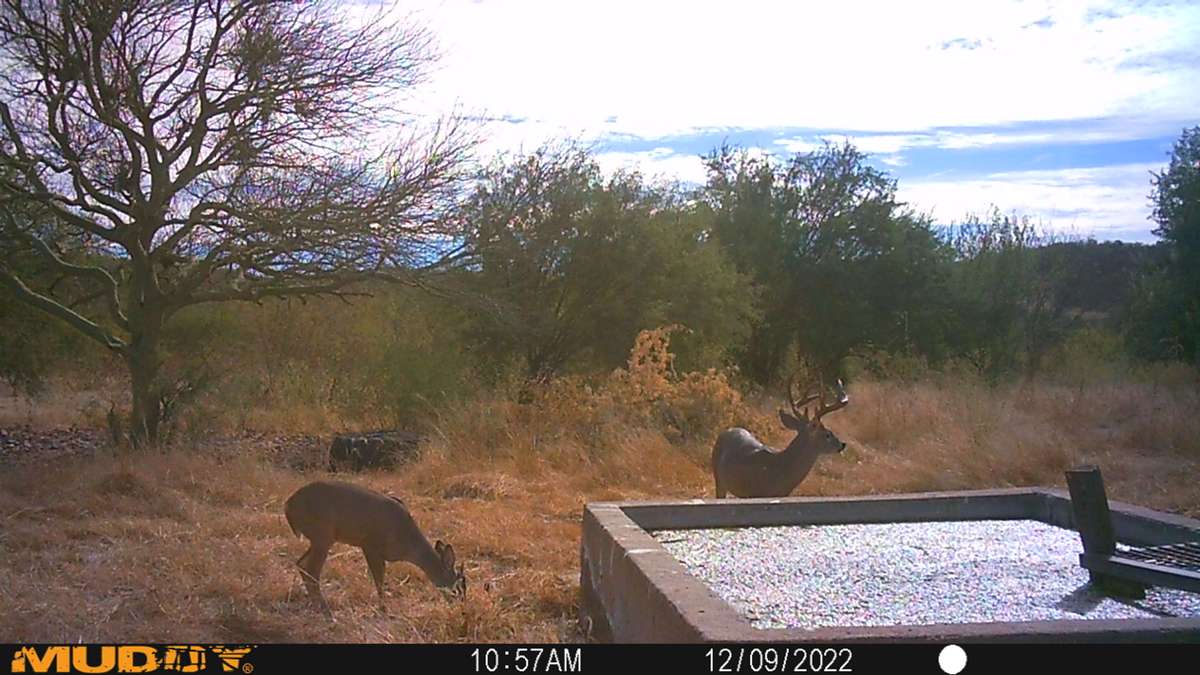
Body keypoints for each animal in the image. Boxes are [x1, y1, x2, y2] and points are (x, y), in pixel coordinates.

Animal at [284, 480, 466, 614]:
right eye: (459, 586)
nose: (462, 607)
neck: (407, 542)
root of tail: (288, 506)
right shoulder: (370, 545)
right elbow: (379, 579)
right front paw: (384, 609)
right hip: (322, 536)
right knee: (311, 568)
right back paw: (325, 608)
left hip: (319, 539)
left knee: (301, 563)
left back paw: (316, 604)